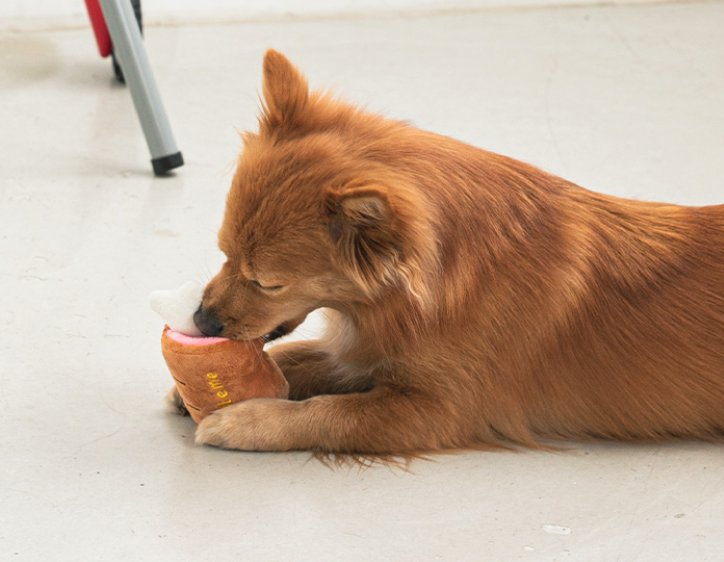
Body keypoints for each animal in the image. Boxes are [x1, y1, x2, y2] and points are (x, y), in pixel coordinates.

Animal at [180, 49, 724, 456]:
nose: (202, 320)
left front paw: (247, 421)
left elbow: (326, 414)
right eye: (224, 254)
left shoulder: (432, 410)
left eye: (266, 282)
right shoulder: (369, 351)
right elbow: (294, 358)